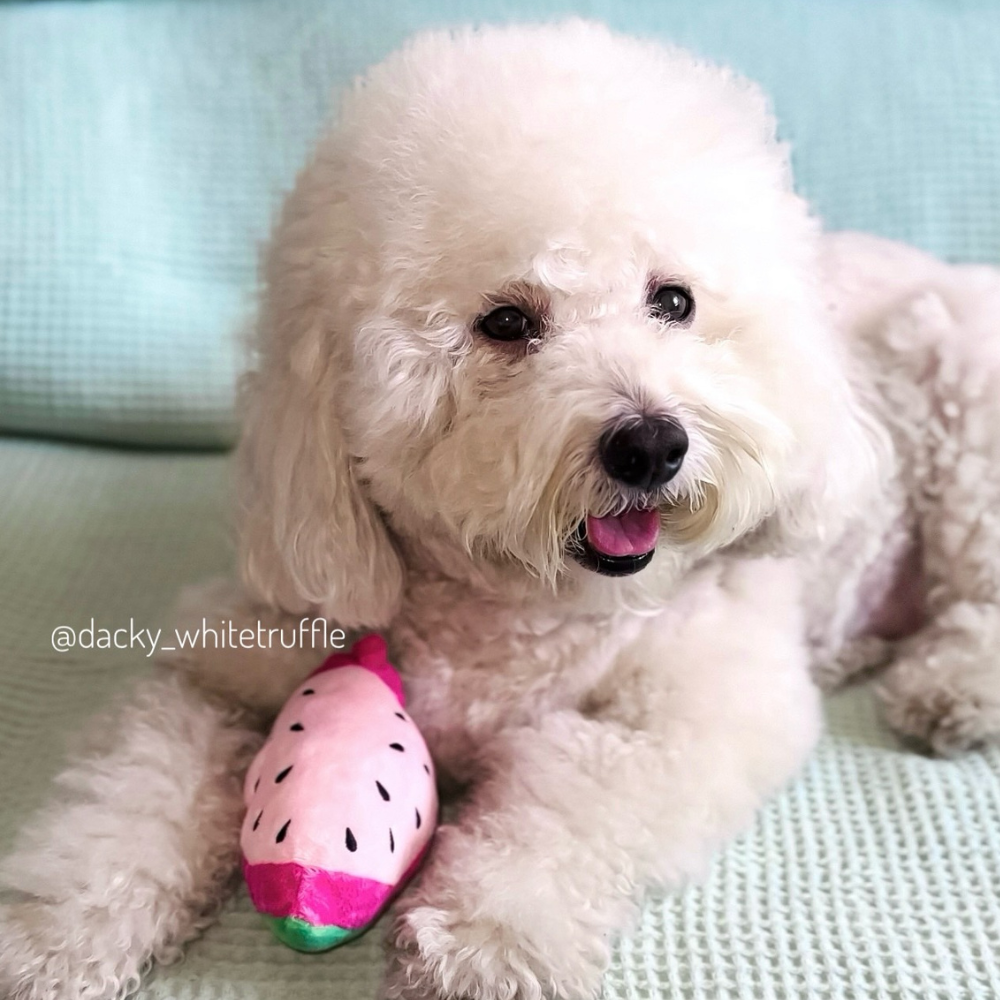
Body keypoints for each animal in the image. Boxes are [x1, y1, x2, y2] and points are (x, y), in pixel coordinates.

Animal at [5, 21, 1000, 1000]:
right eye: (509, 322)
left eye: (673, 301)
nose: (652, 444)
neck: (515, 614)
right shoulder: (226, 661)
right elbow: (135, 786)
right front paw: (56, 923)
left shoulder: (697, 712)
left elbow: (574, 796)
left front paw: (484, 937)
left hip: (966, 415)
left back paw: (955, 686)